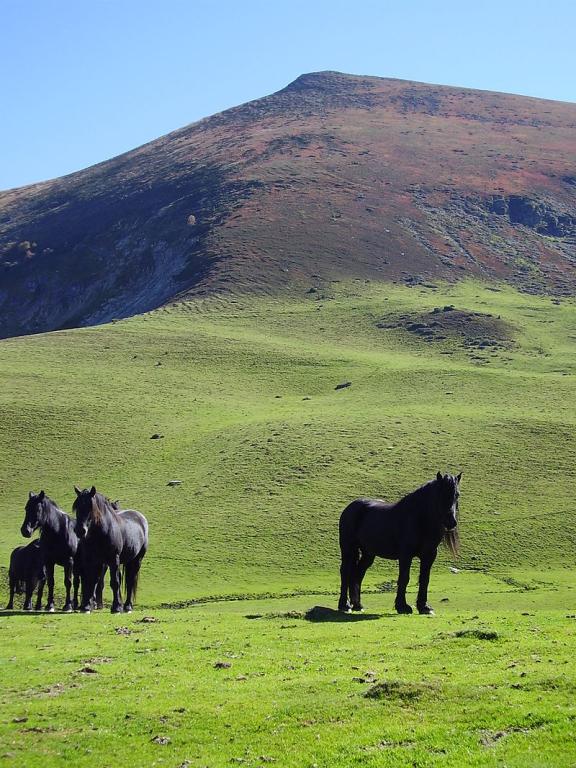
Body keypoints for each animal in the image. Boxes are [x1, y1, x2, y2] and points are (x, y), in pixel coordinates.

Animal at [338, 472, 461, 615]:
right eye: (440, 493)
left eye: (457, 494)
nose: (451, 522)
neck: (420, 519)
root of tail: (349, 508)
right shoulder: (405, 555)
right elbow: (404, 578)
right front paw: (402, 606)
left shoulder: (429, 556)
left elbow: (425, 579)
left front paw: (424, 607)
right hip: (348, 549)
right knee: (345, 572)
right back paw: (345, 605)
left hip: (368, 554)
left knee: (358, 574)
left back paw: (358, 605)